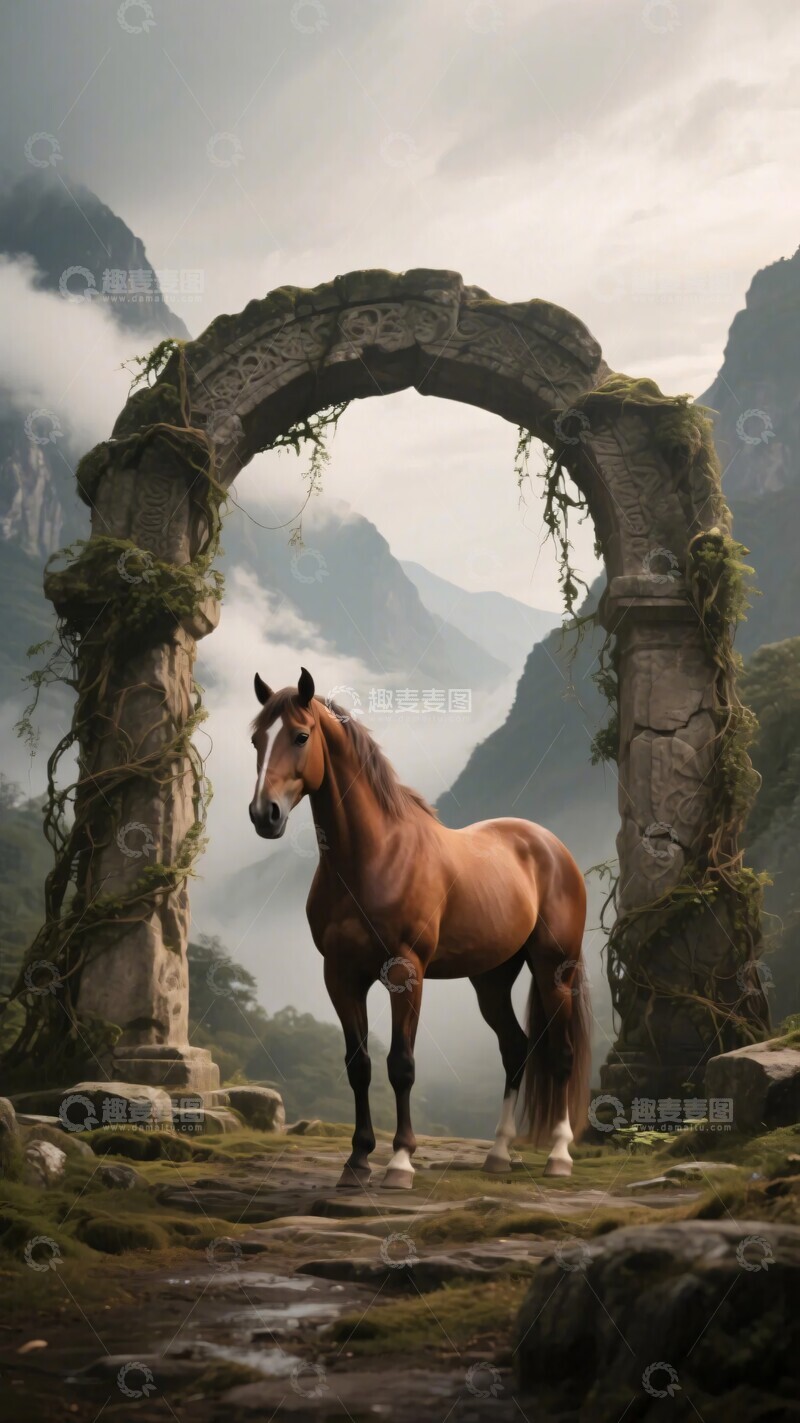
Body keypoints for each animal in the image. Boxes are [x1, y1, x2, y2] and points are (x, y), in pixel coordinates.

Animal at [249, 667, 591, 1190]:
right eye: (256, 740)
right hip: (491, 979)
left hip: (555, 971)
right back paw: (498, 1154)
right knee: (514, 1048)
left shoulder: (403, 973)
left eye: (301, 736)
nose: (263, 814)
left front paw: (400, 1162)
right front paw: (357, 1161)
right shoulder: (340, 976)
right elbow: (359, 1066)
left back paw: (558, 1156)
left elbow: (401, 1065)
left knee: (561, 1054)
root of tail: (553, 847)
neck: (374, 857)